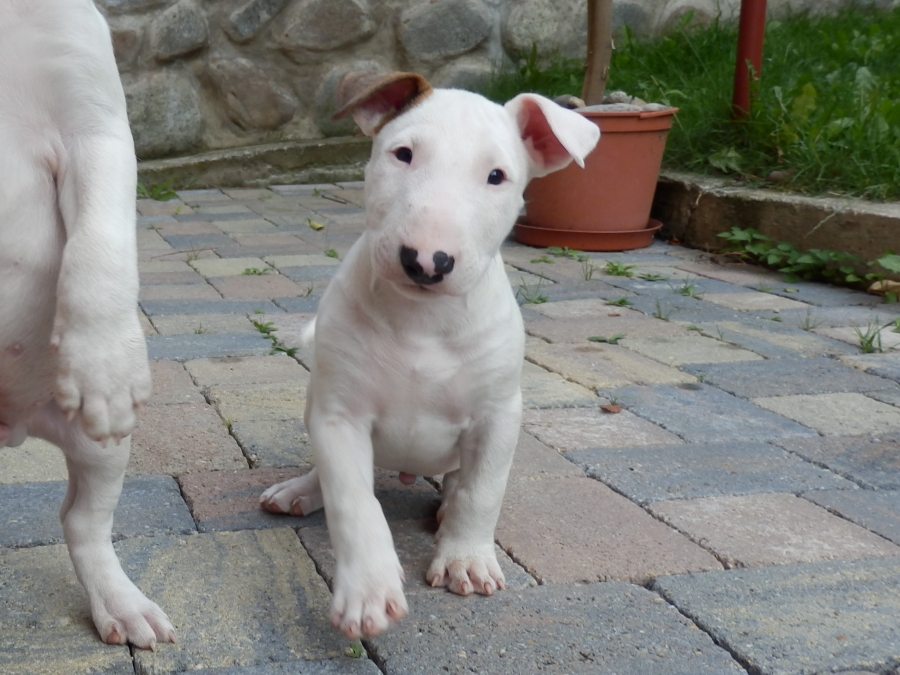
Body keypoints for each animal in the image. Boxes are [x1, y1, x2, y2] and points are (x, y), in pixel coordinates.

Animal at [0, 0, 174, 649]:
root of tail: (13, 428)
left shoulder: (92, 127)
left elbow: (98, 247)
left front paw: (103, 362)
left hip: (101, 447)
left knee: (81, 520)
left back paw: (122, 605)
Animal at [260, 71, 600, 639]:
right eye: (403, 154)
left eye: (496, 176)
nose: (426, 261)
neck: (420, 322)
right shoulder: (339, 414)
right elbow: (354, 501)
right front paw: (368, 590)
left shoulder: (498, 414)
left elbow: (482, 491)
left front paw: (466, 559)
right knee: (331, 475)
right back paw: (299, 491)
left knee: (460, 483)